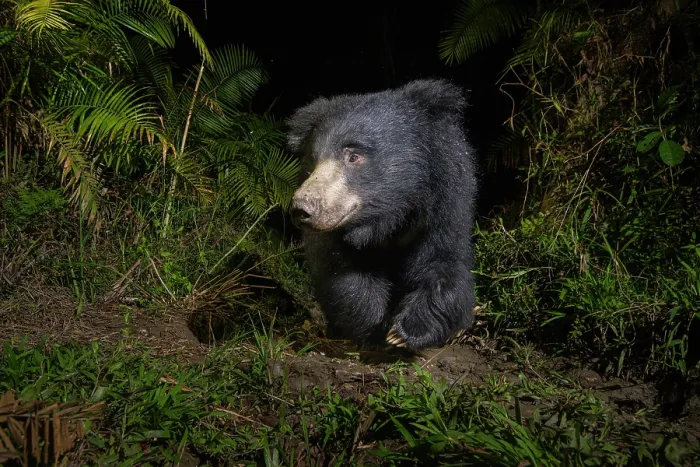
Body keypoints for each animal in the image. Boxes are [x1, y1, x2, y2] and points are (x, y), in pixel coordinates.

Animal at [285, 78, 478, 351]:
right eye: (313, 161)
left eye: (354, 156)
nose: (303, 208)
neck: (387, 218)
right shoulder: (335, 241)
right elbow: (346, 278)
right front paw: (375, 330)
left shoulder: (444, 206)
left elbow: (442, 265)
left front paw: (405, 332)